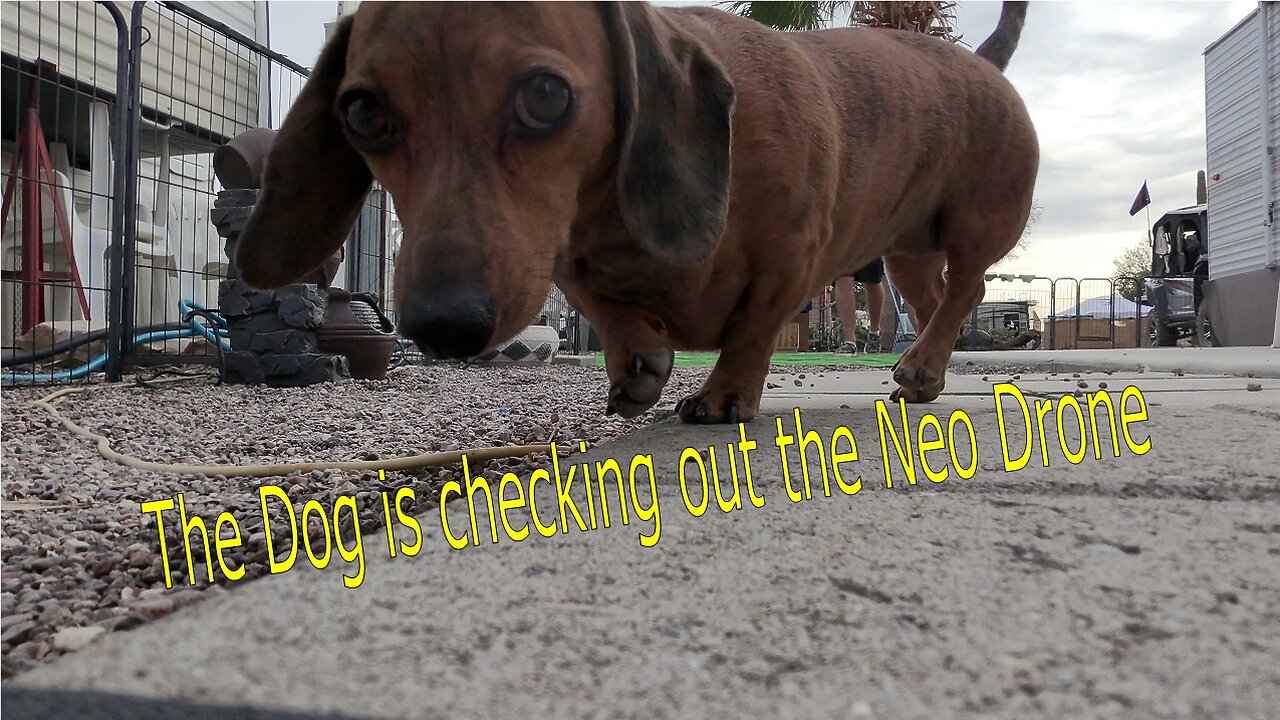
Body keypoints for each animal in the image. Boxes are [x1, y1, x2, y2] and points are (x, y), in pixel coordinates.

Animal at [238, 0, 1039, 422]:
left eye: (546, 95)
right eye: (362, 112)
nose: (442, 328)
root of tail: (984, 62)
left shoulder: (793, 255)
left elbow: (753, 328)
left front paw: (722, 394)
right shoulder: (563, 255)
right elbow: (604, 304)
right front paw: (638, 364)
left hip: (971, 225)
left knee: (967, 288)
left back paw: (922, 363)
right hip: (906, 252)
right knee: (935, 302)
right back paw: (924, 369)